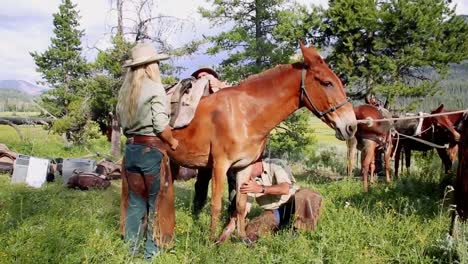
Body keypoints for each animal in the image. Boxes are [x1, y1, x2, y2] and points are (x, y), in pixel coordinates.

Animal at [119, 42, 354, 239]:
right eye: (326, 83)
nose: (350, 126)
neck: (245, 114)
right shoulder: (220, 165)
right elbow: (216, 204)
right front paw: (211, 240)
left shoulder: (244, 167)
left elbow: (240, 205)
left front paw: (240, 238)